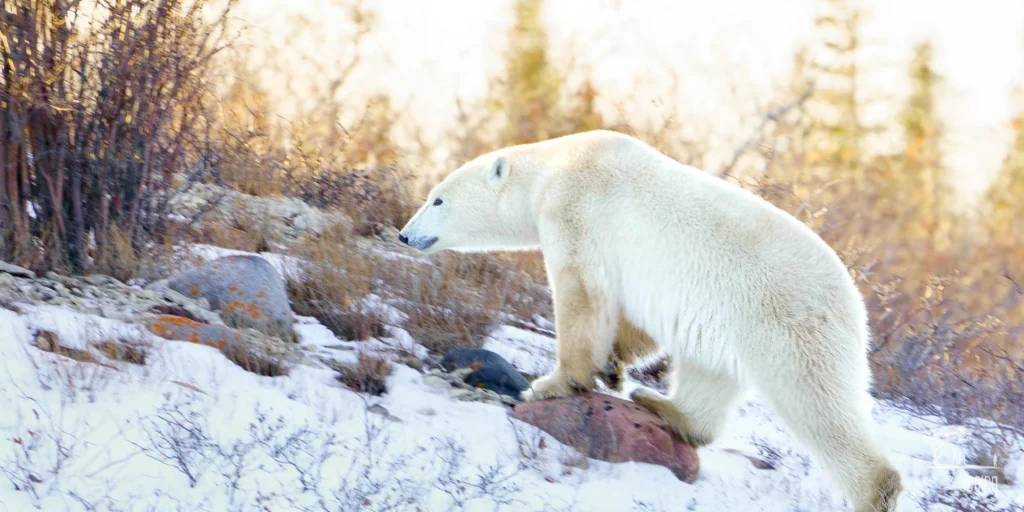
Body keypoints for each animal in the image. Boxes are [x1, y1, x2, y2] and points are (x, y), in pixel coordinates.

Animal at [398, 129, 903, 512]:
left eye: (437, 199)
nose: (405, 234)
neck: (553, 167)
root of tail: (856, 305)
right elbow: (632, 317)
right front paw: (613, 368)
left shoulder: (578, 210)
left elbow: (583, 294)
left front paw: (553, 383)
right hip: (736, 321)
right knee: (708, 374)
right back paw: (660, 404)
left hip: (785, 319)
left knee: (818, 404)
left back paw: (873, 490)